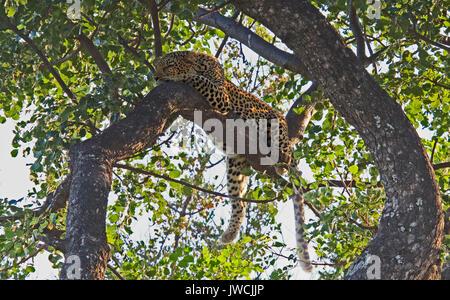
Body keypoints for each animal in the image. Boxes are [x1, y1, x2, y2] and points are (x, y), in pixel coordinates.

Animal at [153, 49, 312, 272]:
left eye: (168, 66)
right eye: (157, 67)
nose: (156, 78)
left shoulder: (221, 96)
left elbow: (197, 79)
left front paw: (183, 76)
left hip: (270, 122)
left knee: (284, 153)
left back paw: (279, 160)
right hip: (235, 164)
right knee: (240, 203)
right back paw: (230, 234)